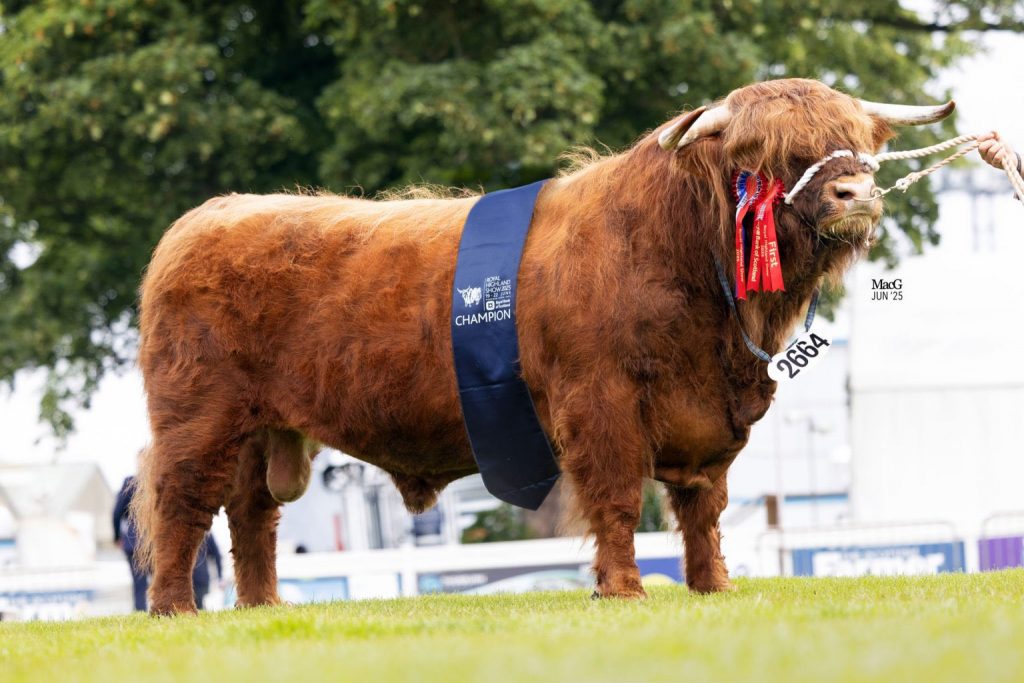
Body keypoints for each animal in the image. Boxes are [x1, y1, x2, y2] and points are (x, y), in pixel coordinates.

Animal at [131, 78, 953, 615]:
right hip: (198, 417)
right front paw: (623, 589)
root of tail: (206, 217)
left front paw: (713, 584)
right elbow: (617, 498)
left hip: (261, 429)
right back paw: (176, 608)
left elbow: (703, 507)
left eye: (858, 143)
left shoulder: (707, 417)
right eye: (776, 152)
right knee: (182, 503)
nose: (855, 194)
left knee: (252, 513)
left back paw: (263, 606)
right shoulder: (601, 401)